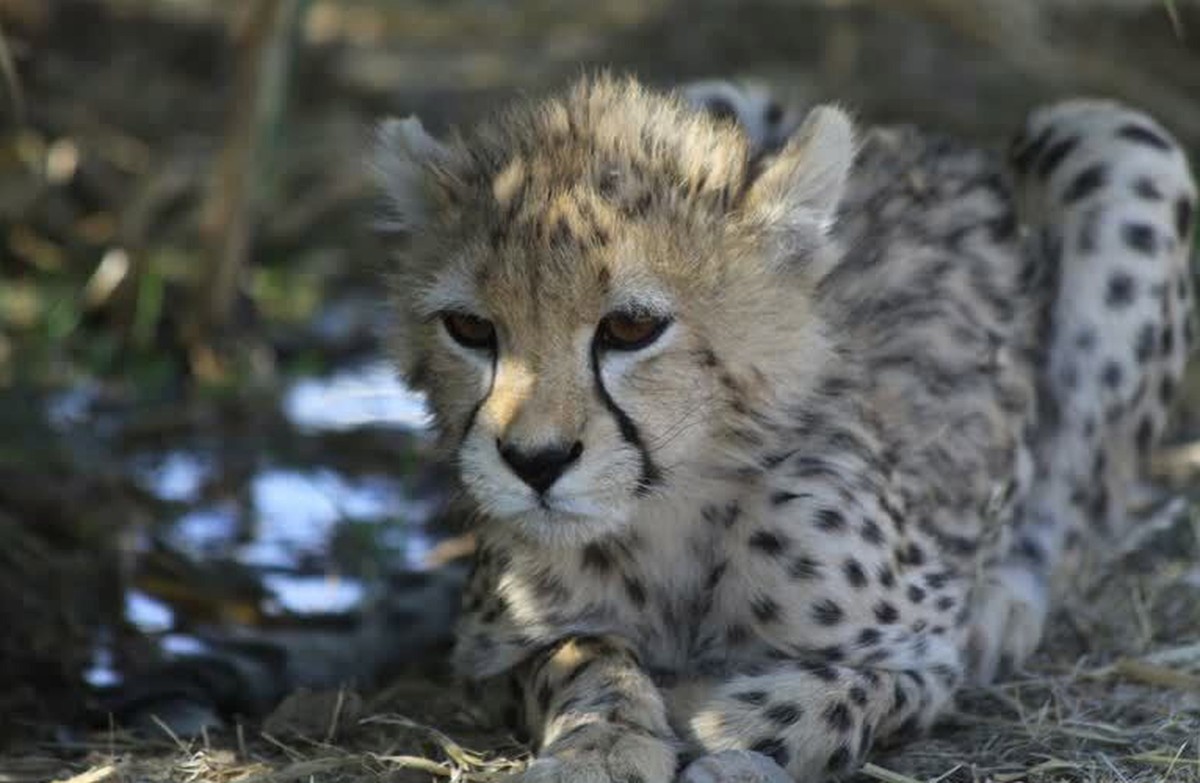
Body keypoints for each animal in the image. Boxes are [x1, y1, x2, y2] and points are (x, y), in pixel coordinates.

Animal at [372, 74, 1197, 783]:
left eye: (631, 326)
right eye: (470, 328)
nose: (534, 461)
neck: (669, 512)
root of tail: (932, 139)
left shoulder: (928, 653)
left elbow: (851, 693)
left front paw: (717, 724)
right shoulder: (487, 650)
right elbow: (580, 652)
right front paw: (601, 742)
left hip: (1117, 144)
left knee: (1075, 515)